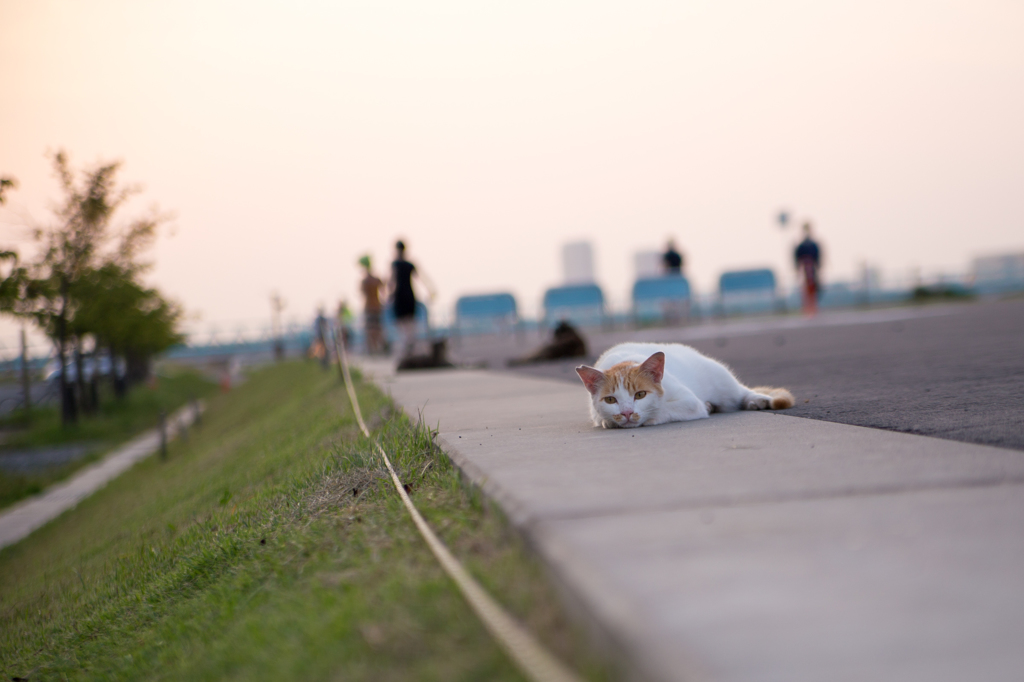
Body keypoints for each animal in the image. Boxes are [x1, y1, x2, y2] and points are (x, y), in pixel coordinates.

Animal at [573, 342, 794, 428]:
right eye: (611, 399)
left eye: (640, 395)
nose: (627, 413)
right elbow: (603, 419)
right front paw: (610, 421)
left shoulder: (689, 401)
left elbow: (664, 410)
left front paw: (650, 417)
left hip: (722, 382)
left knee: (739, 391)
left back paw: (756, 399)